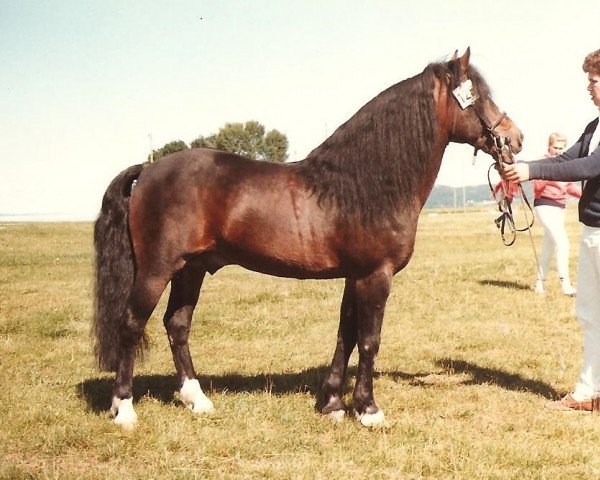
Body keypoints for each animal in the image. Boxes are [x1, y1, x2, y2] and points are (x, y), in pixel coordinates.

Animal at [92, 49, 520, 432]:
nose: (515, 138)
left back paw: (197, 399)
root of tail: (149, 168)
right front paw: (368, 410)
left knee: (177, 325)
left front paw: (332, 403)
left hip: (191, 269)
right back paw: (124, 409)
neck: (365, 184)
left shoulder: (354, 276)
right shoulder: (375, 275)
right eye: (478, 96)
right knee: (130, 325)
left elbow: (346, 336)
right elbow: (369, 340)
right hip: (156, 269)